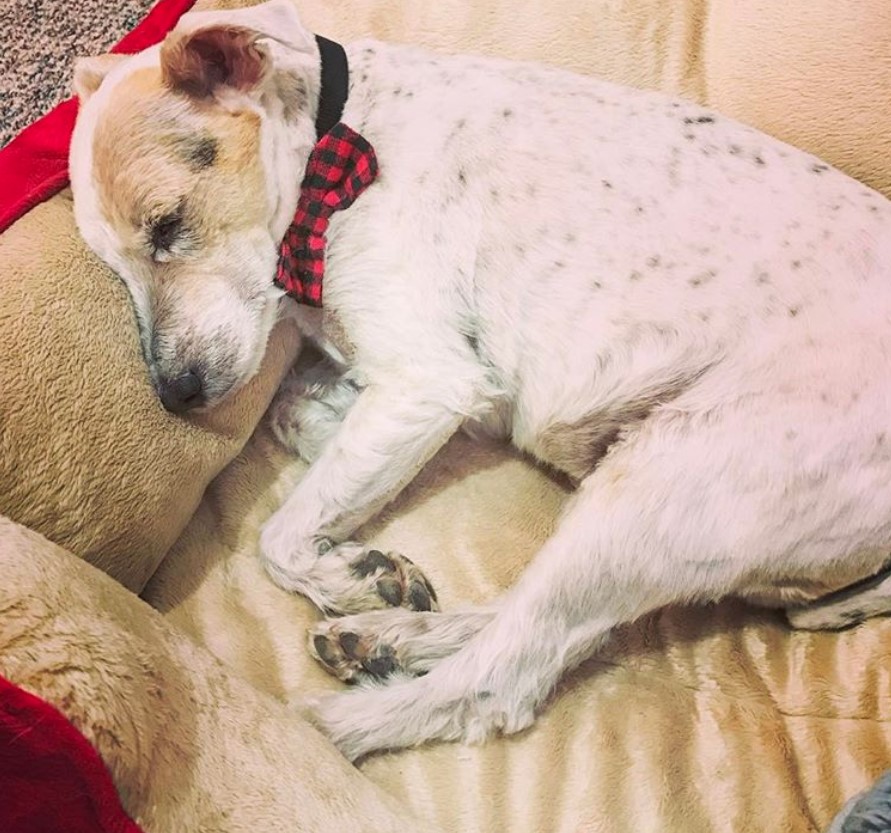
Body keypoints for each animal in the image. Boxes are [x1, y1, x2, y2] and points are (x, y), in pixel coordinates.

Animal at [68, 0, 891, 760]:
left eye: (168, 224)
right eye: (112, 264)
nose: (174, 395)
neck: (339, 141)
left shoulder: (426, 380)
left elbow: (278, 534)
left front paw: (340, 568)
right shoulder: (423, 388)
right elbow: (300, 419)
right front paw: (354, 544)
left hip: (660, 486)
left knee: (502, 681)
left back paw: (328, 726)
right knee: (544, 626)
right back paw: (390, 636)